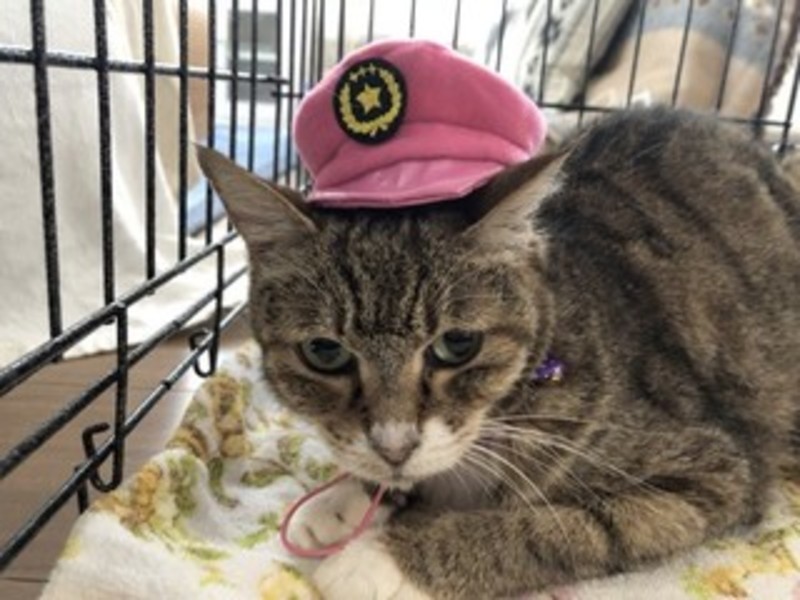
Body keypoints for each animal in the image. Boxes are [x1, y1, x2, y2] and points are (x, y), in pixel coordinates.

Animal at [198, 107, 800, 600]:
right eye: (324, 352)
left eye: (457, 345)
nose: (395, 447)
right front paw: (347, 497)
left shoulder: (712, 473)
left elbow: (563, 529)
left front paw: (382, 560)